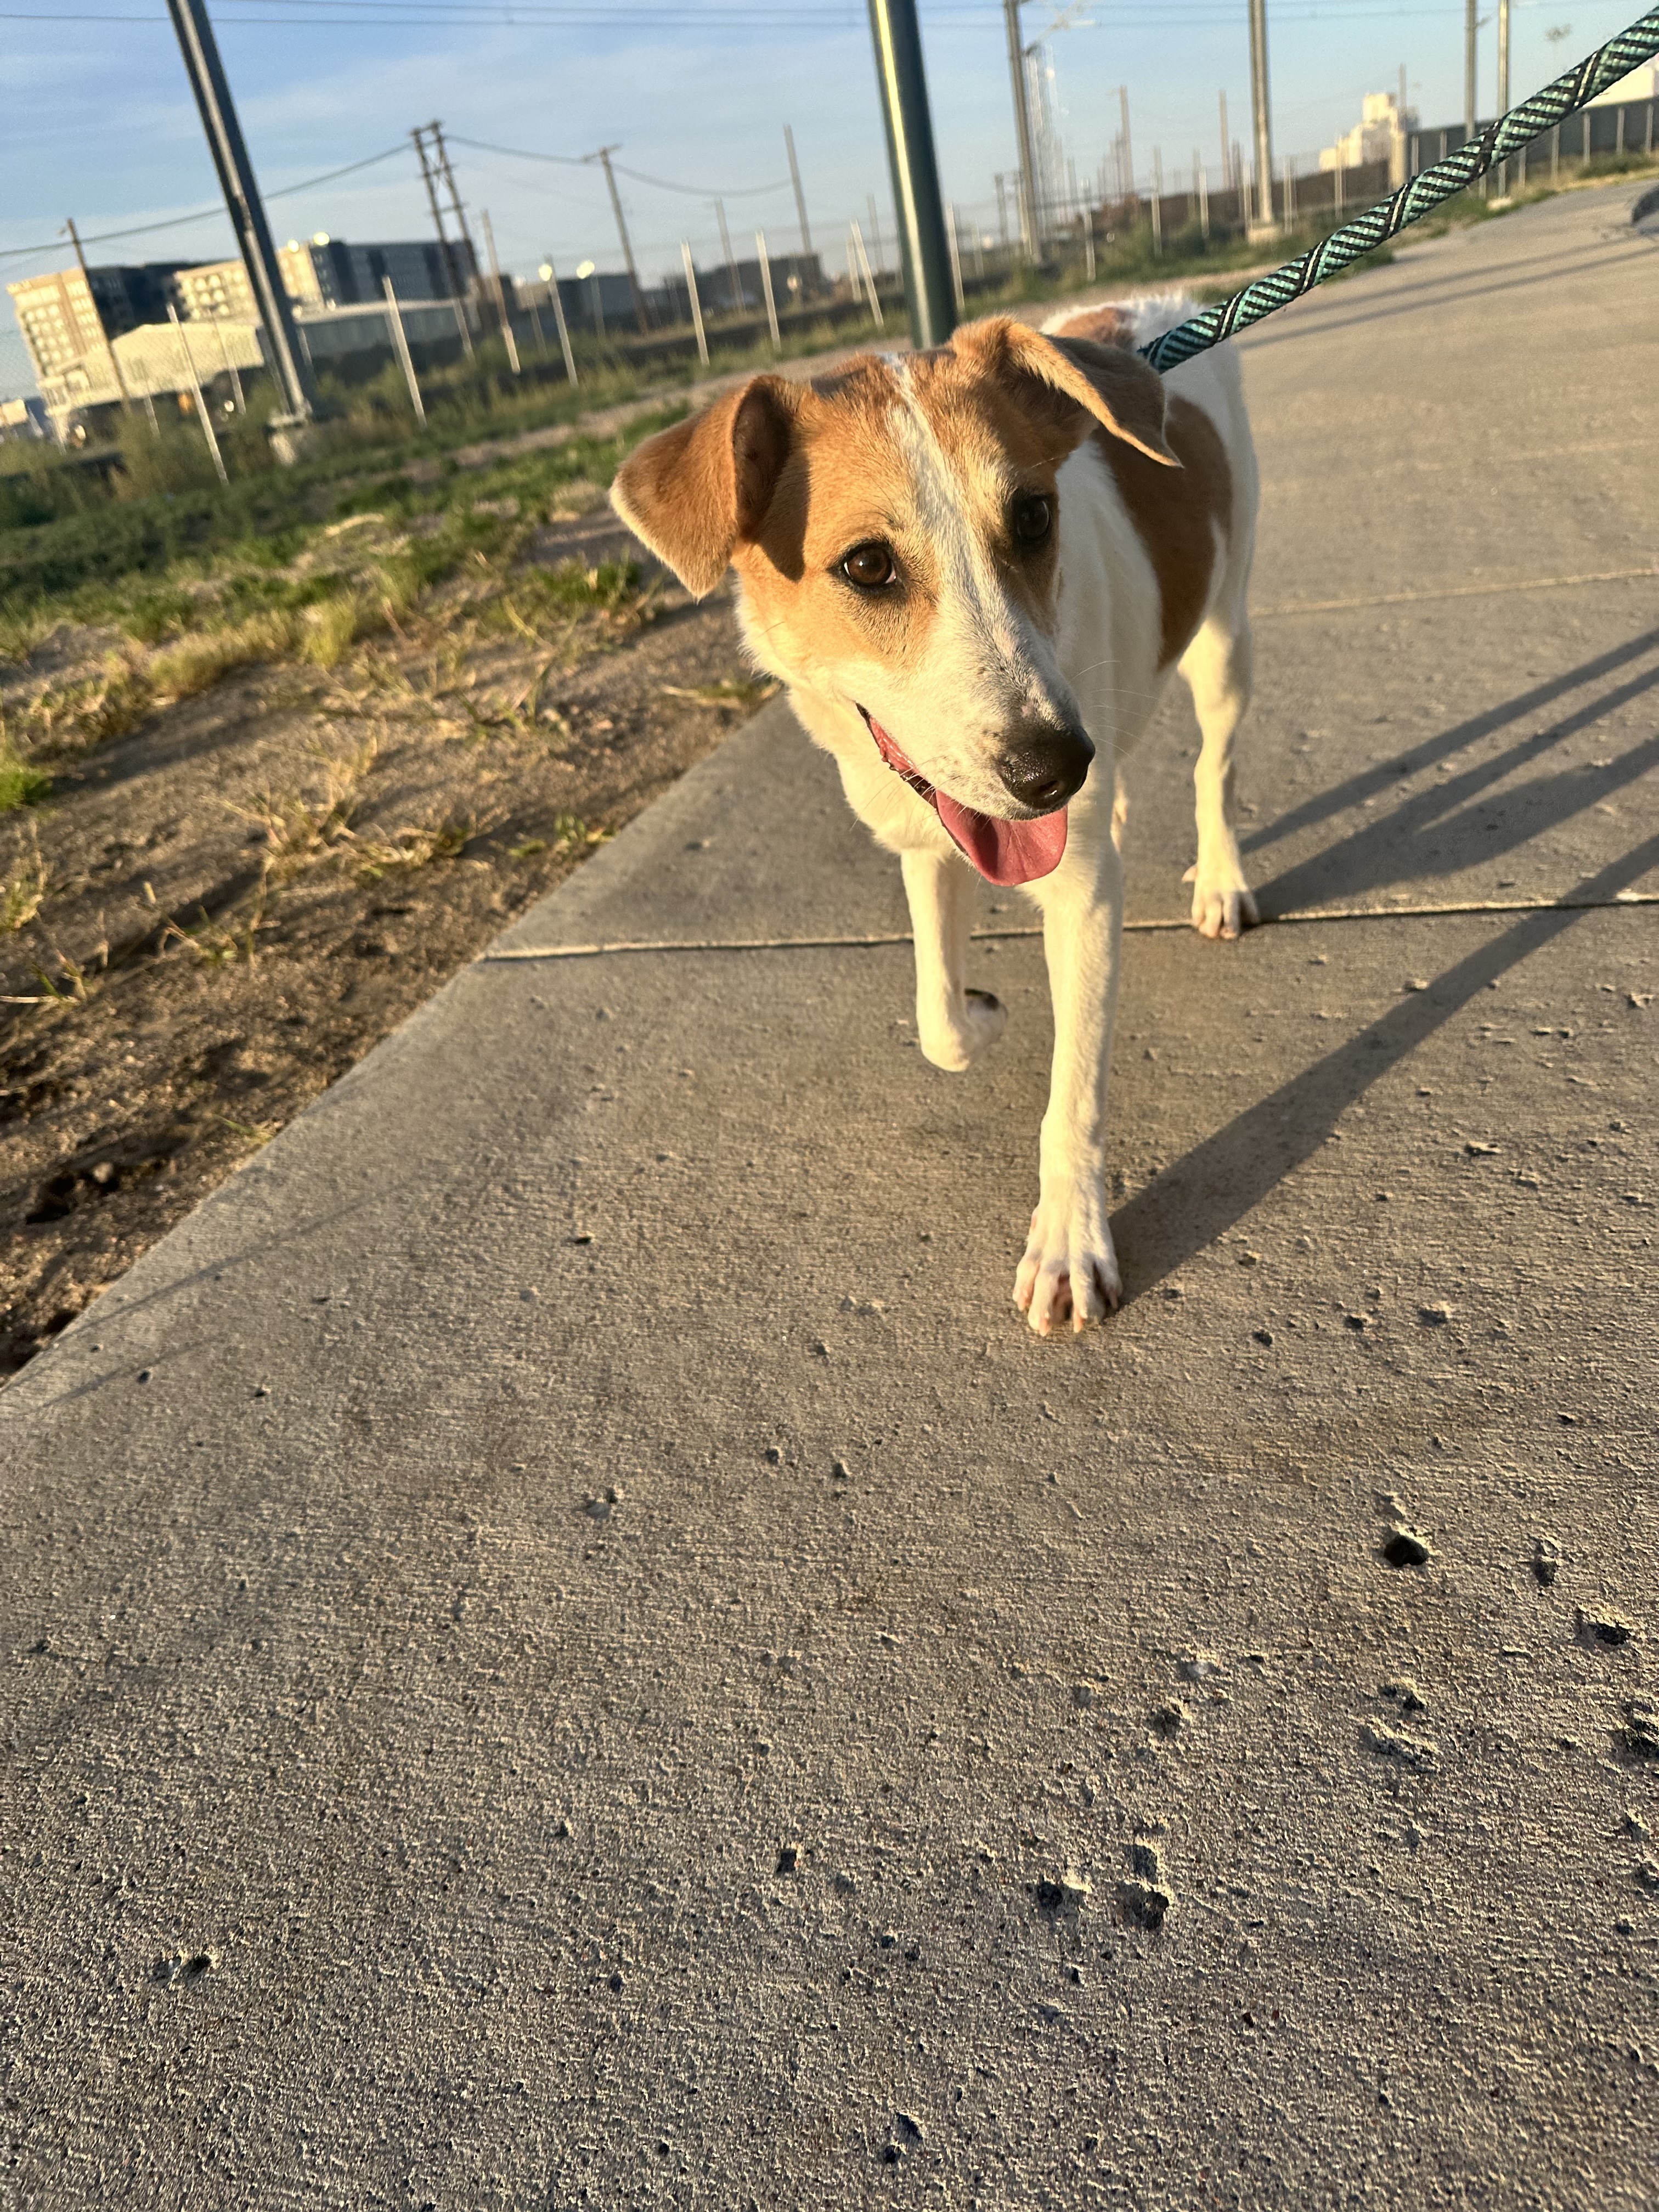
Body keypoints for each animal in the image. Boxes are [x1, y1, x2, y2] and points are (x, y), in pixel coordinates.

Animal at [610, 292, 1256, 1327]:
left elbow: (1073, 1096)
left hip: (1226, 641)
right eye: (868, 565)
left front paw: (1069, 1243)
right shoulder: (928, 842)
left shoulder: (1074, 890)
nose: (1053, 771)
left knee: (1214, 769)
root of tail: (1153, 307)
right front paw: (984, 1014)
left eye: (1033, 515)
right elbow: (936, 1020)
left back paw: (1221, 878)